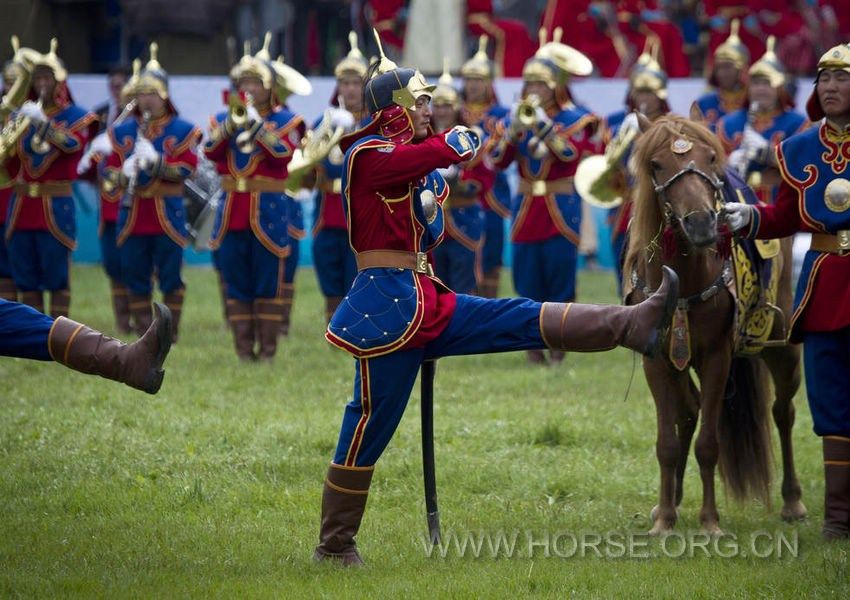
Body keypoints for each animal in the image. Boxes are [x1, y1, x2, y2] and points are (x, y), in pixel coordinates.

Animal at [624, 112, 808, 536]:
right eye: (656, 164)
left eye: (709, 157)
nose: (702, 223)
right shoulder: (657, 361)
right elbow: (667, 442)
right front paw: (665, 519)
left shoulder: (717, 357)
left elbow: (709, 443)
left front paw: (710, 522)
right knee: (688, 412)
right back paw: (671, 501)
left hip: (783, 349)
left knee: (783, 411)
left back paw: (793, 501)